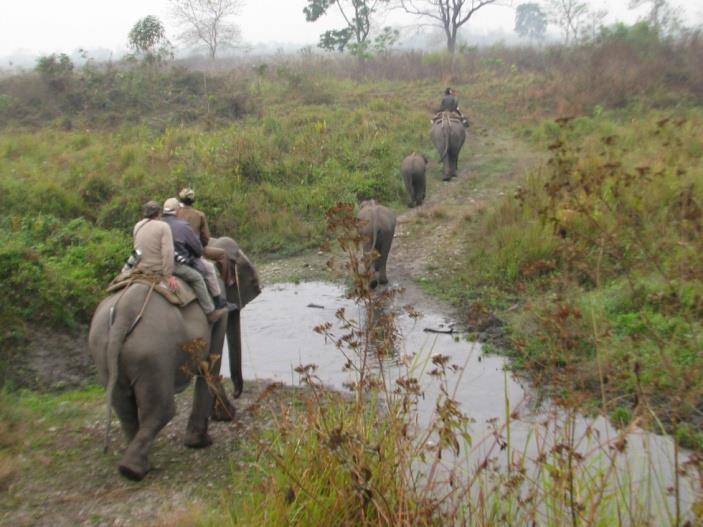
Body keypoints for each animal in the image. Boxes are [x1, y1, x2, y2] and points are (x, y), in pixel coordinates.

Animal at [88, 237, 262, 480]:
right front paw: (202, 440)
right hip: (153, 355)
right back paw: (134, 470)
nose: (237, 395)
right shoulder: (217, 306)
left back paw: (133, 464)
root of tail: (123, 315)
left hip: (104, 351)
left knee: (123, 405)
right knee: (162, 409)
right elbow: (211, 364)